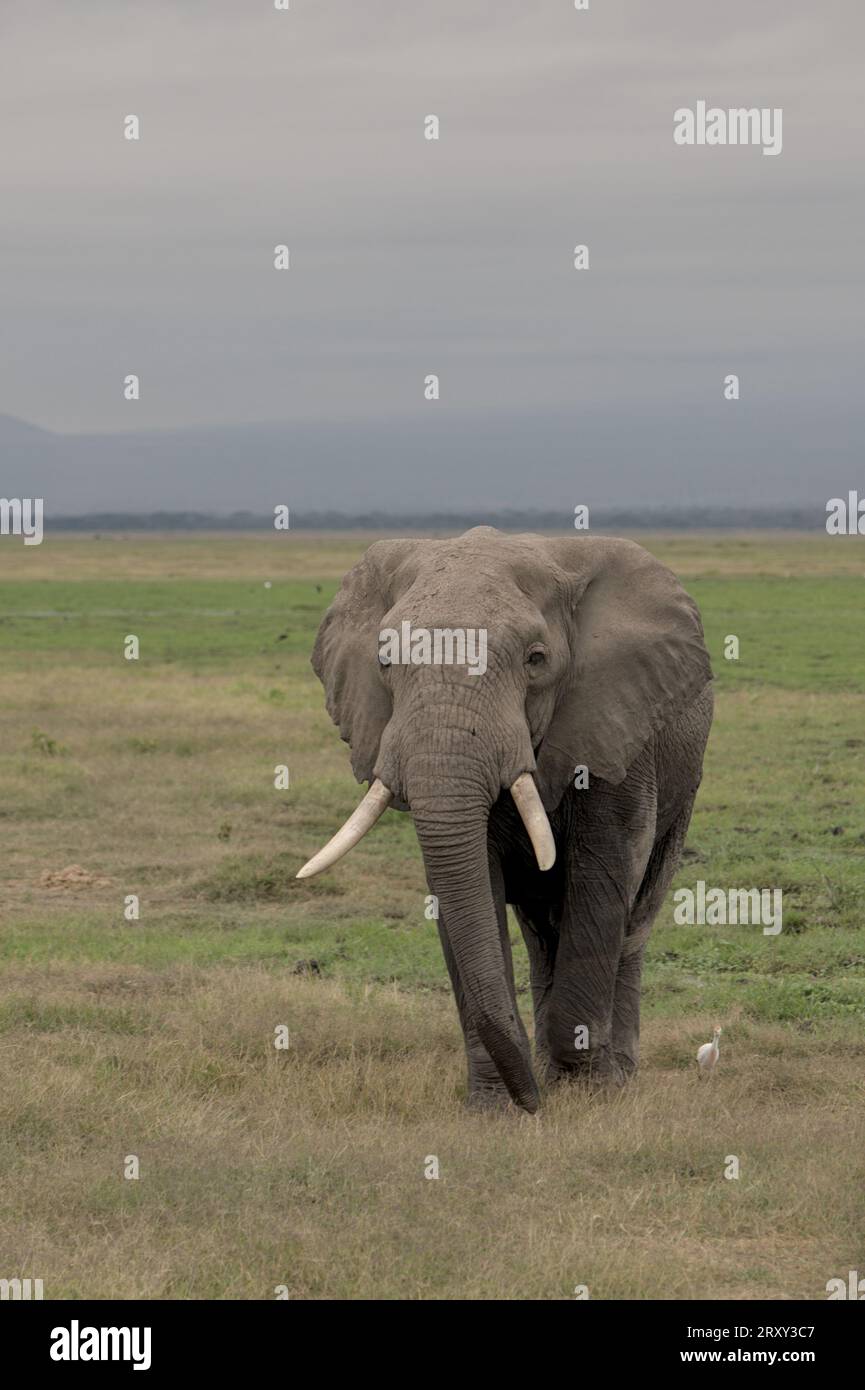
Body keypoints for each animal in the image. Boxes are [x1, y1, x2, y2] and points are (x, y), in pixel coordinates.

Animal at [298, 527, 713, 1114]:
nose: (533, 1103)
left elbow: (603, 875)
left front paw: (587, 1095)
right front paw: (496, 1108)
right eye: (384, 662)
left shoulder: (615, 724)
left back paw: (617, 1074)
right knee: (541, 931)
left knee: (635, 916)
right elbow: (467, 885)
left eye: (536, 659)